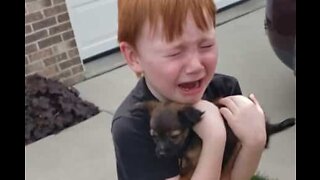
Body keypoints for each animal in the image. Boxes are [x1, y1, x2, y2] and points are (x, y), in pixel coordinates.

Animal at [134, 100, 296, 179]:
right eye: (154, 136)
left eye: (174, 136)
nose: (160, 154)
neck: (190, 138)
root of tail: (266, 125)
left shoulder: (202, 158)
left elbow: (186, 174)